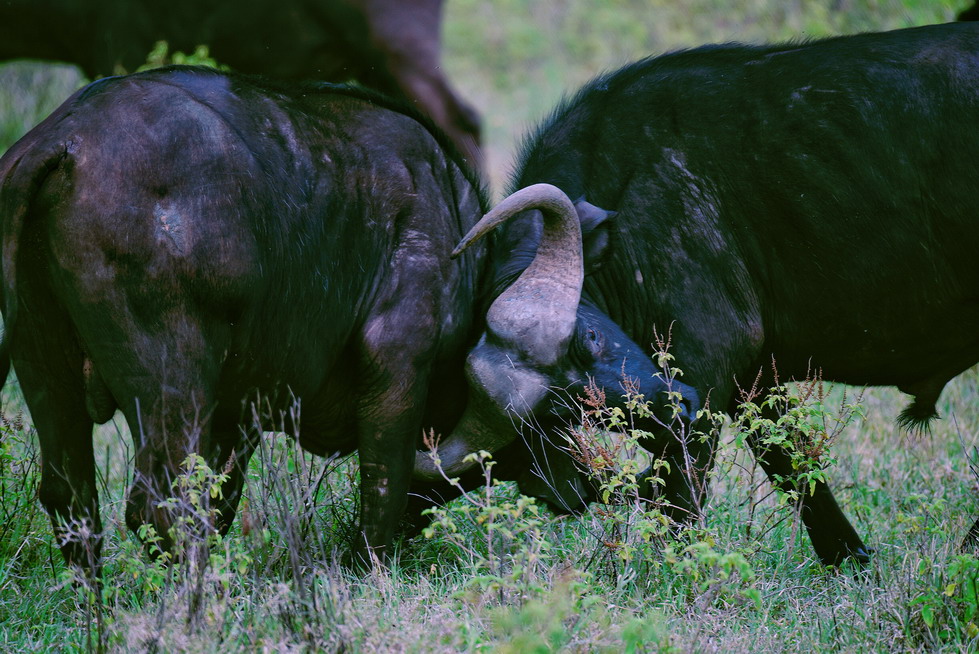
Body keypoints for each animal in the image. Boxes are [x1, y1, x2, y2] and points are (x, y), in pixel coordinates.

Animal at [0, 65, 688, 568]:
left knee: (72, 501)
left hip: (42, 365)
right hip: (173, 387)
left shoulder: (237, 417)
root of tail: (65, 142)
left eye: (592, 332)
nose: (675, 399)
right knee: (162, 506)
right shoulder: (395, 380)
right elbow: (381, 500)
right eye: (554, 409)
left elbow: (225, 503)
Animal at [424, 23, 979, 568]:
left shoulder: (708, 366)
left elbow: (680, 504)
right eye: (561, 412)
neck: (626, 201)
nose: (677, 409)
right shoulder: (749, 380)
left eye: (588, 337)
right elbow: (793, 464)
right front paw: (851, 558)